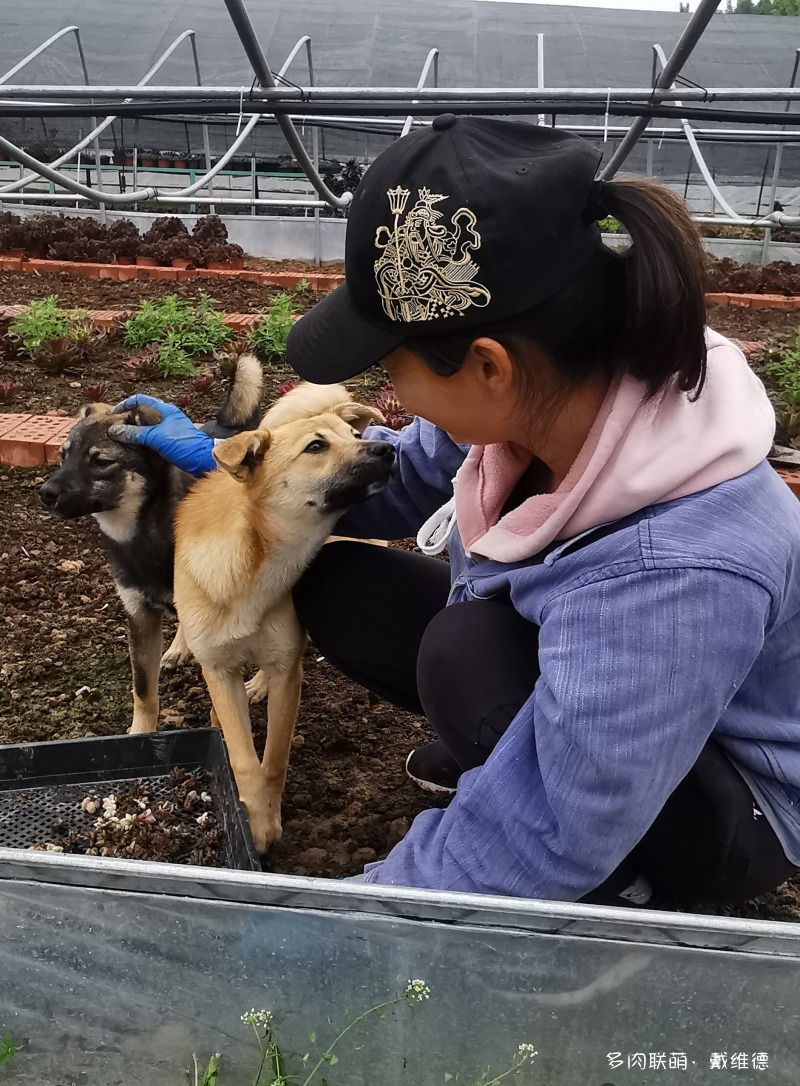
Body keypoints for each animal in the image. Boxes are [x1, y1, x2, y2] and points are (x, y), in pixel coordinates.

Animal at [39, 354, 262, 729]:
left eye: (101, 461)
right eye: (62, 456)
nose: (45, 493)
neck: (147, 532)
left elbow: (224, 703)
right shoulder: (139, 615)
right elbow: (143, 692)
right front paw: (139, 732)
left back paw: (261, 683)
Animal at [172, 386, 392, 851]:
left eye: (353, 435)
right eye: (316, 447)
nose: (389, 449)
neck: (255, 567)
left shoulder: (287, 670)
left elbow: (273, 758)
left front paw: (266, 823)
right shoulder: (217, 668)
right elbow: (241, 755)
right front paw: (254, 818)